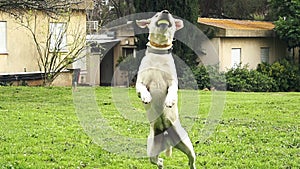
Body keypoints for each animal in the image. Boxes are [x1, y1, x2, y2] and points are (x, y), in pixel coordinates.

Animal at [137, 10, 197, 168]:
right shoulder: (140, 82)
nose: (165, 12)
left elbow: (172, 90)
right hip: (152, 149)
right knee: (157, 160)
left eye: (169, 15)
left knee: (191, 159)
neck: (159, 52)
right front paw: (146, 97)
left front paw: (169, 101)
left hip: (186, 144)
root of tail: (165, 135)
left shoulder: (172, 82)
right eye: (156, 15)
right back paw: (161, 163)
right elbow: (142, 88)